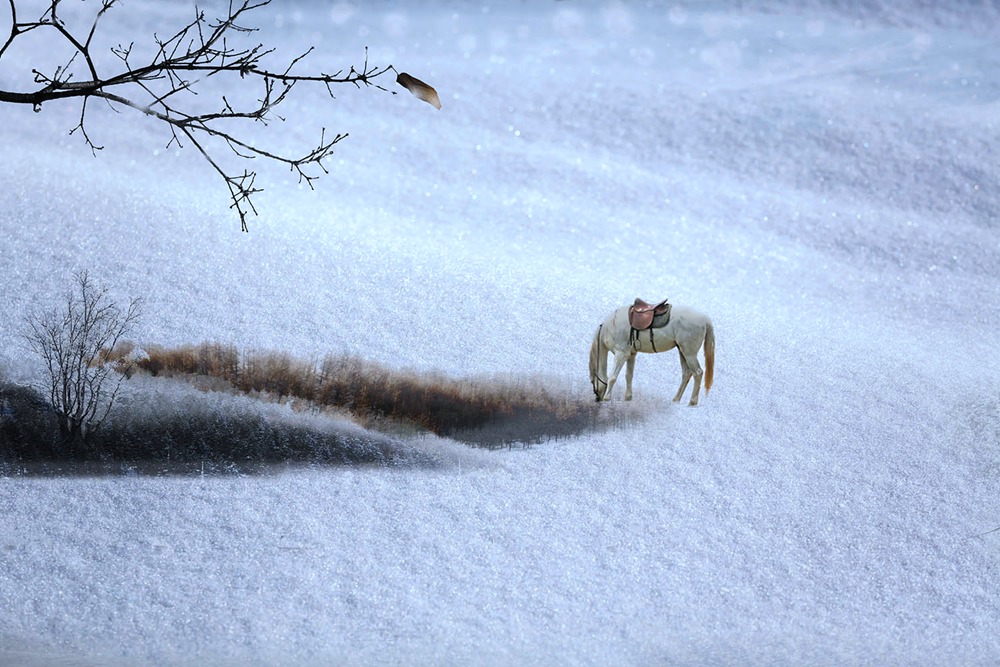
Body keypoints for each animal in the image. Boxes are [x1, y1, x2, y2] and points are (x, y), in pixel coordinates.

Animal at [588, 304, 716, 408]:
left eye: (592, 381)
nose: (597, 399)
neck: (610, 326)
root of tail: (705, 319)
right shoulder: (631, 355)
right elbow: (629, 376)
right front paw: (628, 398)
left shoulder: (621, 354)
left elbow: (612, 377)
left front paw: (607, 398)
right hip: (682, 351)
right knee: (686, 373)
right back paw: (676, 399)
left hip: (689, 354)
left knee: (698, 373)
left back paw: (692, 402)